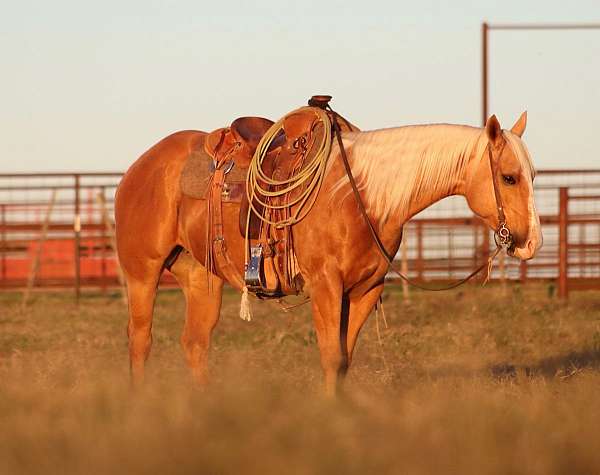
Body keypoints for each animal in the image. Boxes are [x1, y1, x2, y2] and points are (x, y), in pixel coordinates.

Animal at [115, 112, 540, 398]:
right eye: (508, 177)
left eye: (532, 176)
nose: (530, 242)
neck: (359, 195)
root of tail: (140, 167)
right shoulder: (325, 286)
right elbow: (331, 357)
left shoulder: (365, 290)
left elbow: (344, 360)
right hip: (143, 273)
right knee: (140, 340)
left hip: (201, 279)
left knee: (195, 343)